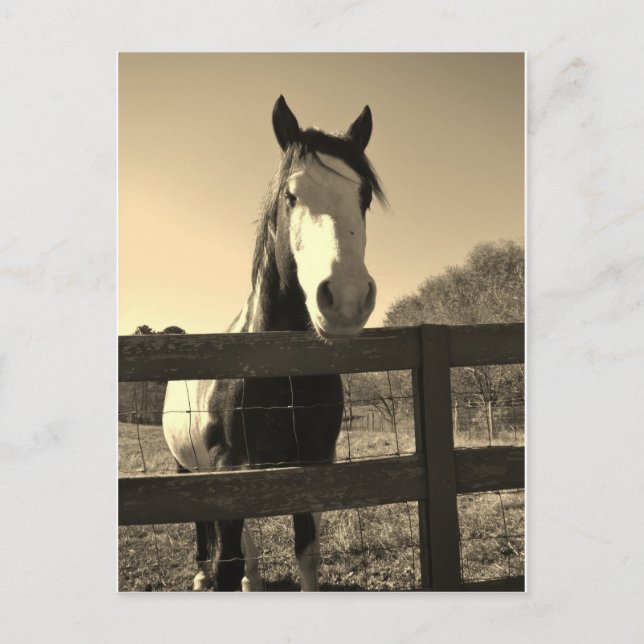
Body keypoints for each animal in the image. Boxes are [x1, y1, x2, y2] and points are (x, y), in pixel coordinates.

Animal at [162, 95, 386, 591]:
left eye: (363, 196)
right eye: (291, 195)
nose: (345, 299)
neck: (278, 373)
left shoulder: (311, 466)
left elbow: (306, 553)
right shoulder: (226, 472)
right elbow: (227, 559)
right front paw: (222, 576)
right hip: (191, 470)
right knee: (207, 529)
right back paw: (203, 575)